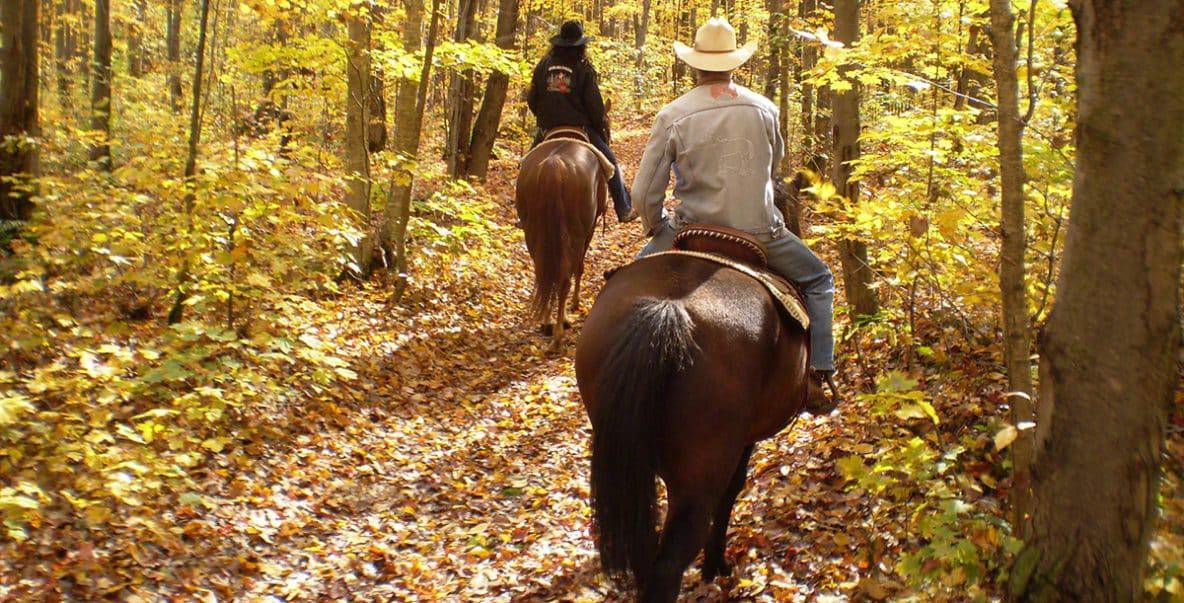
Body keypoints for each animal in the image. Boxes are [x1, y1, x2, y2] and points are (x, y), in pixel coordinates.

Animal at [515, 130, 608, 353]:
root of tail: (554, 165)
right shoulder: (589, 231)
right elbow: (579, 269)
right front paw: (575, 304)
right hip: (576, 234)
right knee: (564, 278)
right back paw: (558, 334)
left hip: (534, 233)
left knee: (545, 275)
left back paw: (548, 324)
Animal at [574, 198, 812, 602]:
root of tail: (667, 311)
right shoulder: (742, 443)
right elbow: (732, 491)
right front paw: (715, 565)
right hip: (699, 478)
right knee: (669, 563)